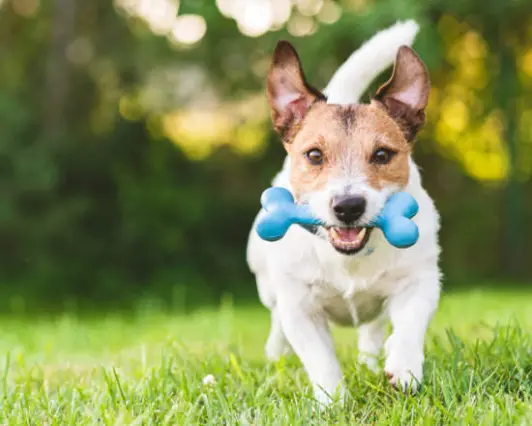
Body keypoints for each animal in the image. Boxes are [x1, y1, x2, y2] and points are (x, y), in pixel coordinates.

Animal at [245, 20, 440, 406]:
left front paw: (404, 367)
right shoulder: (300, 307)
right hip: (268, 286)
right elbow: (320, 358)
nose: (348, 207)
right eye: (314, 155)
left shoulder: (421, 280)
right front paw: (332, 401)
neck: (349, 259)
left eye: (382, 155)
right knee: (276, 322)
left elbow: (410, 323)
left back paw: (373, 359)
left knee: (373, 329)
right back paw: (276, 355)